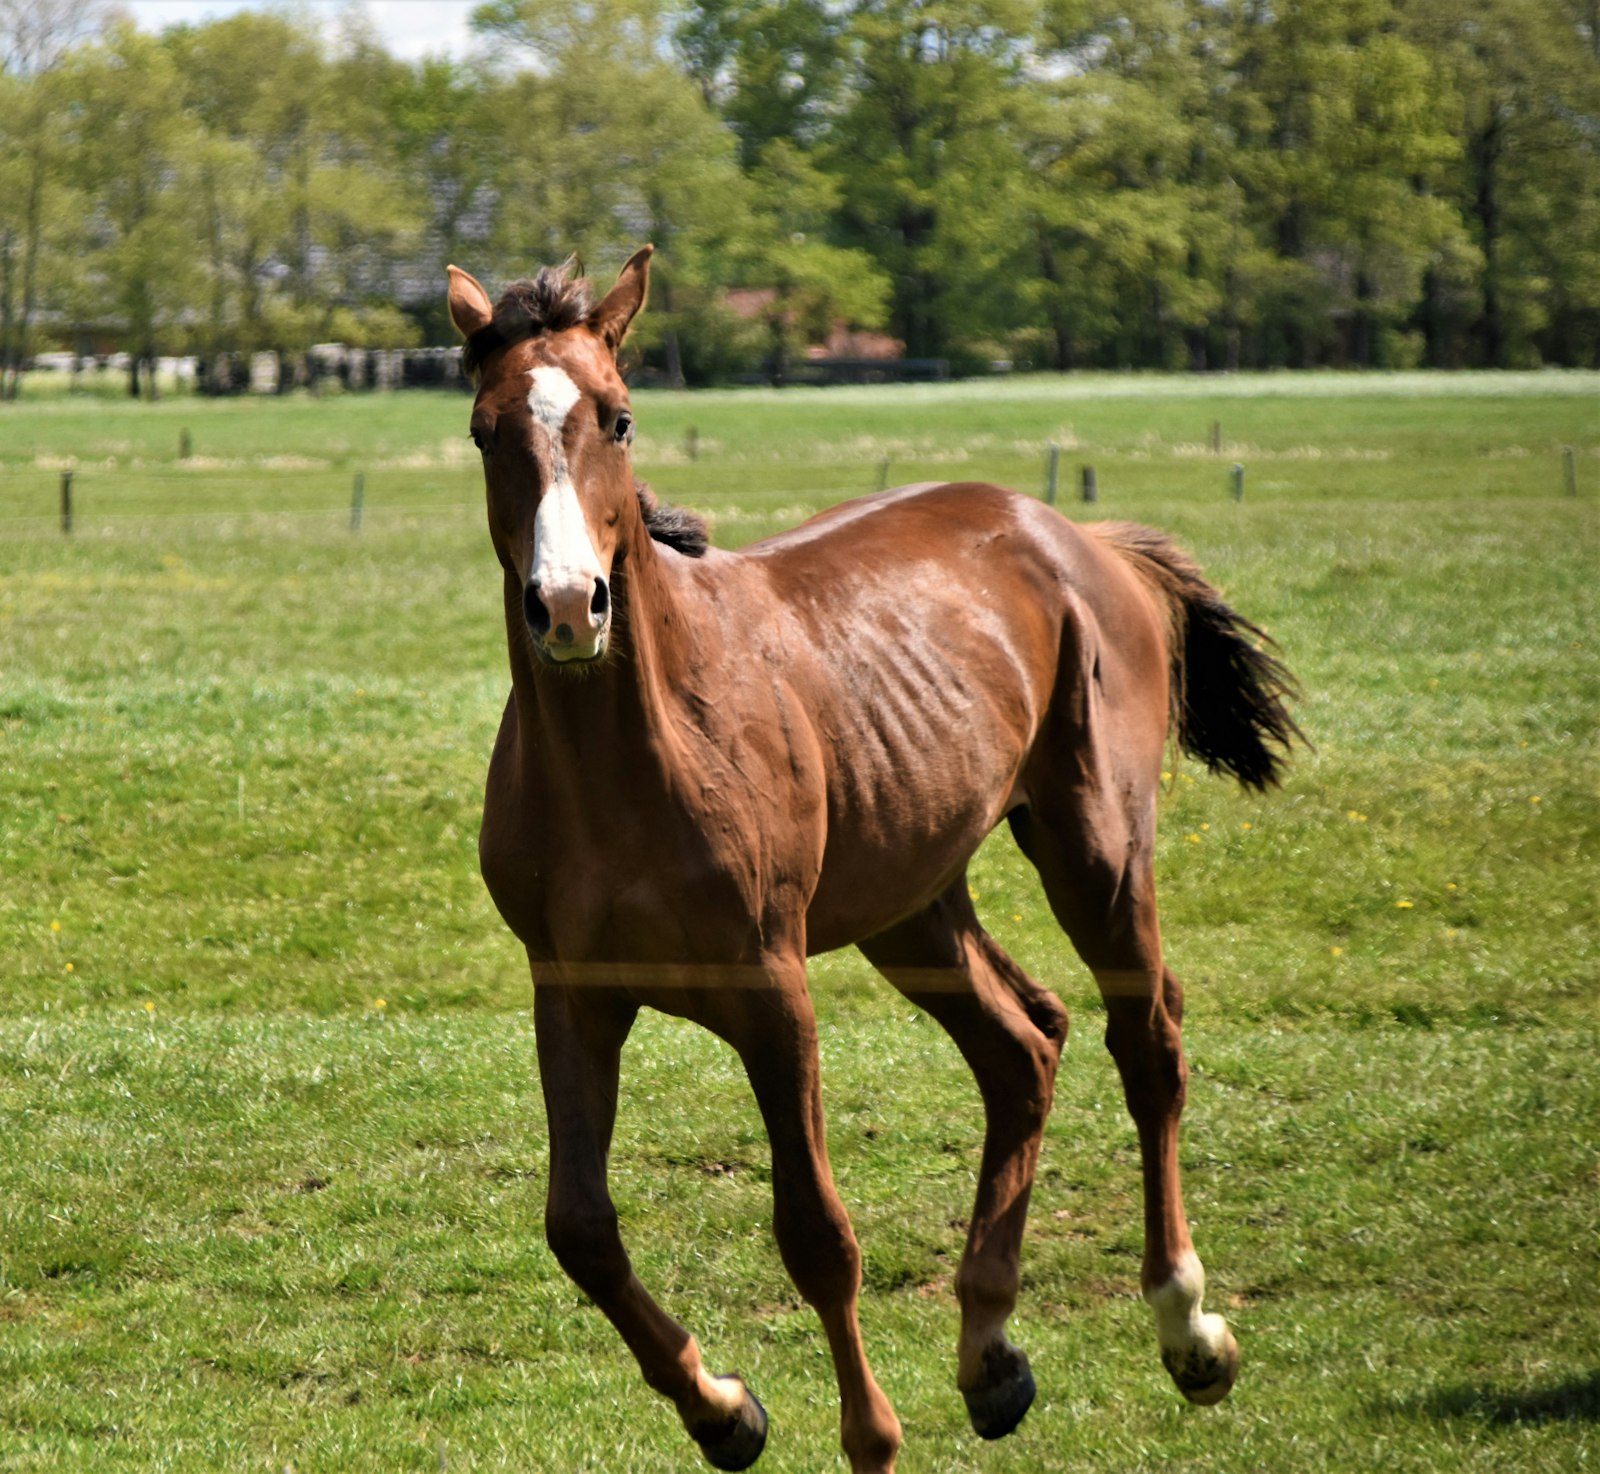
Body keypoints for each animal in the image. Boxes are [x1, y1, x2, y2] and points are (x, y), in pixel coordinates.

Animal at [445, 247, 1299, 1473]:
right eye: (482, 431)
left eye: (618, 417)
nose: (568, 607)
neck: (629, 764)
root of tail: (1080, 539)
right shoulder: (572, 993)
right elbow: (580, 1228)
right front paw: (724, 1408)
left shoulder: (772, 992)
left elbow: (816, 1234)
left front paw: (869, 1435)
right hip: (913, 903)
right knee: (1024, 1044)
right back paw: (989, 1354)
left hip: (1095, 849)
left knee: (1147, 1041)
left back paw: (1189, 1330)